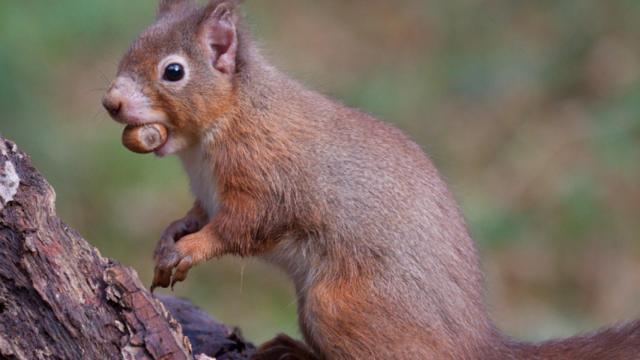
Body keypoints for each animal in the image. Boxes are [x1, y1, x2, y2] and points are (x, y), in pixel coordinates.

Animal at [102, 0, 636, 360]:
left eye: (174, 71)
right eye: (130, 49)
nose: (111, 102)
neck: (217, 129)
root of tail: (474, 344)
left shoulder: (266, 177)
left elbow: (241, 228)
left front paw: (191, 249)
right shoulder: (206, 196)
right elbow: (194, 216)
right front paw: (170, 238)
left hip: (338, 307)